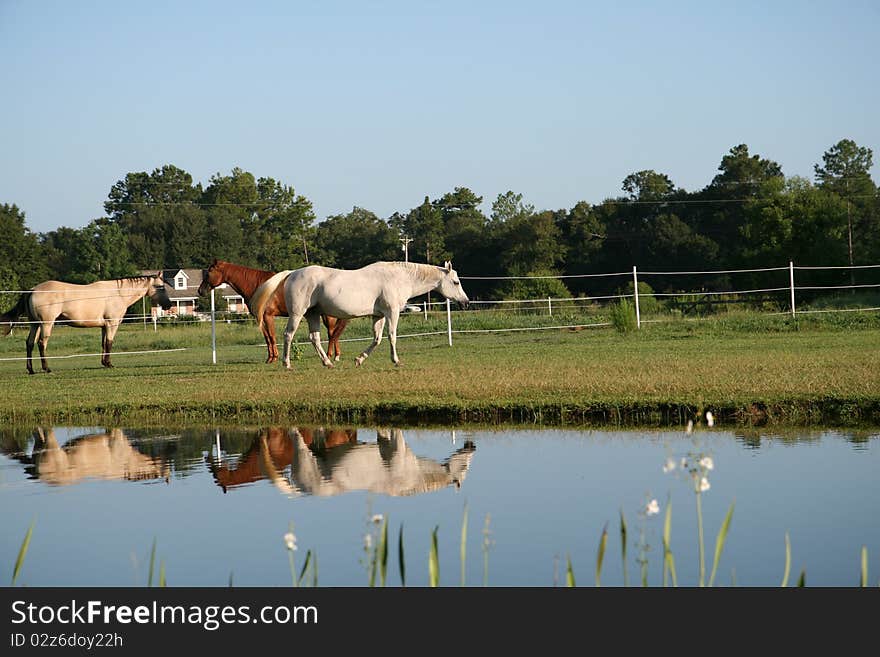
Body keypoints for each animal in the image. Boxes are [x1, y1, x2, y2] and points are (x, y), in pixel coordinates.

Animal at [199, 258, 350, 364]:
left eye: (209, 272)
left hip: (328, 316)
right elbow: (267, 338)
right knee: (334, 334)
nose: (200, 291)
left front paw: (274, 358)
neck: (259, 286)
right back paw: (334, 356)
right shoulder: (261, 318)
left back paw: (331, 355)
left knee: (332, 334)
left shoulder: (268, 316)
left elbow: (272, 336)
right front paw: (270, 358)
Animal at [251, 258, 470, 366]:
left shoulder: (378, 316)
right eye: (456, 282)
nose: (466, 303)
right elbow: (391, 336)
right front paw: (396, 360)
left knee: (314, 338)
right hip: (297, 314)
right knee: (288, 335)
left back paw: (327, 363)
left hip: (313, 314)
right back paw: (287, 363)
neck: (399, 278)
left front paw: (359, 359)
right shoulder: (392, 313)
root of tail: (293, 273)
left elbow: (377, 339)